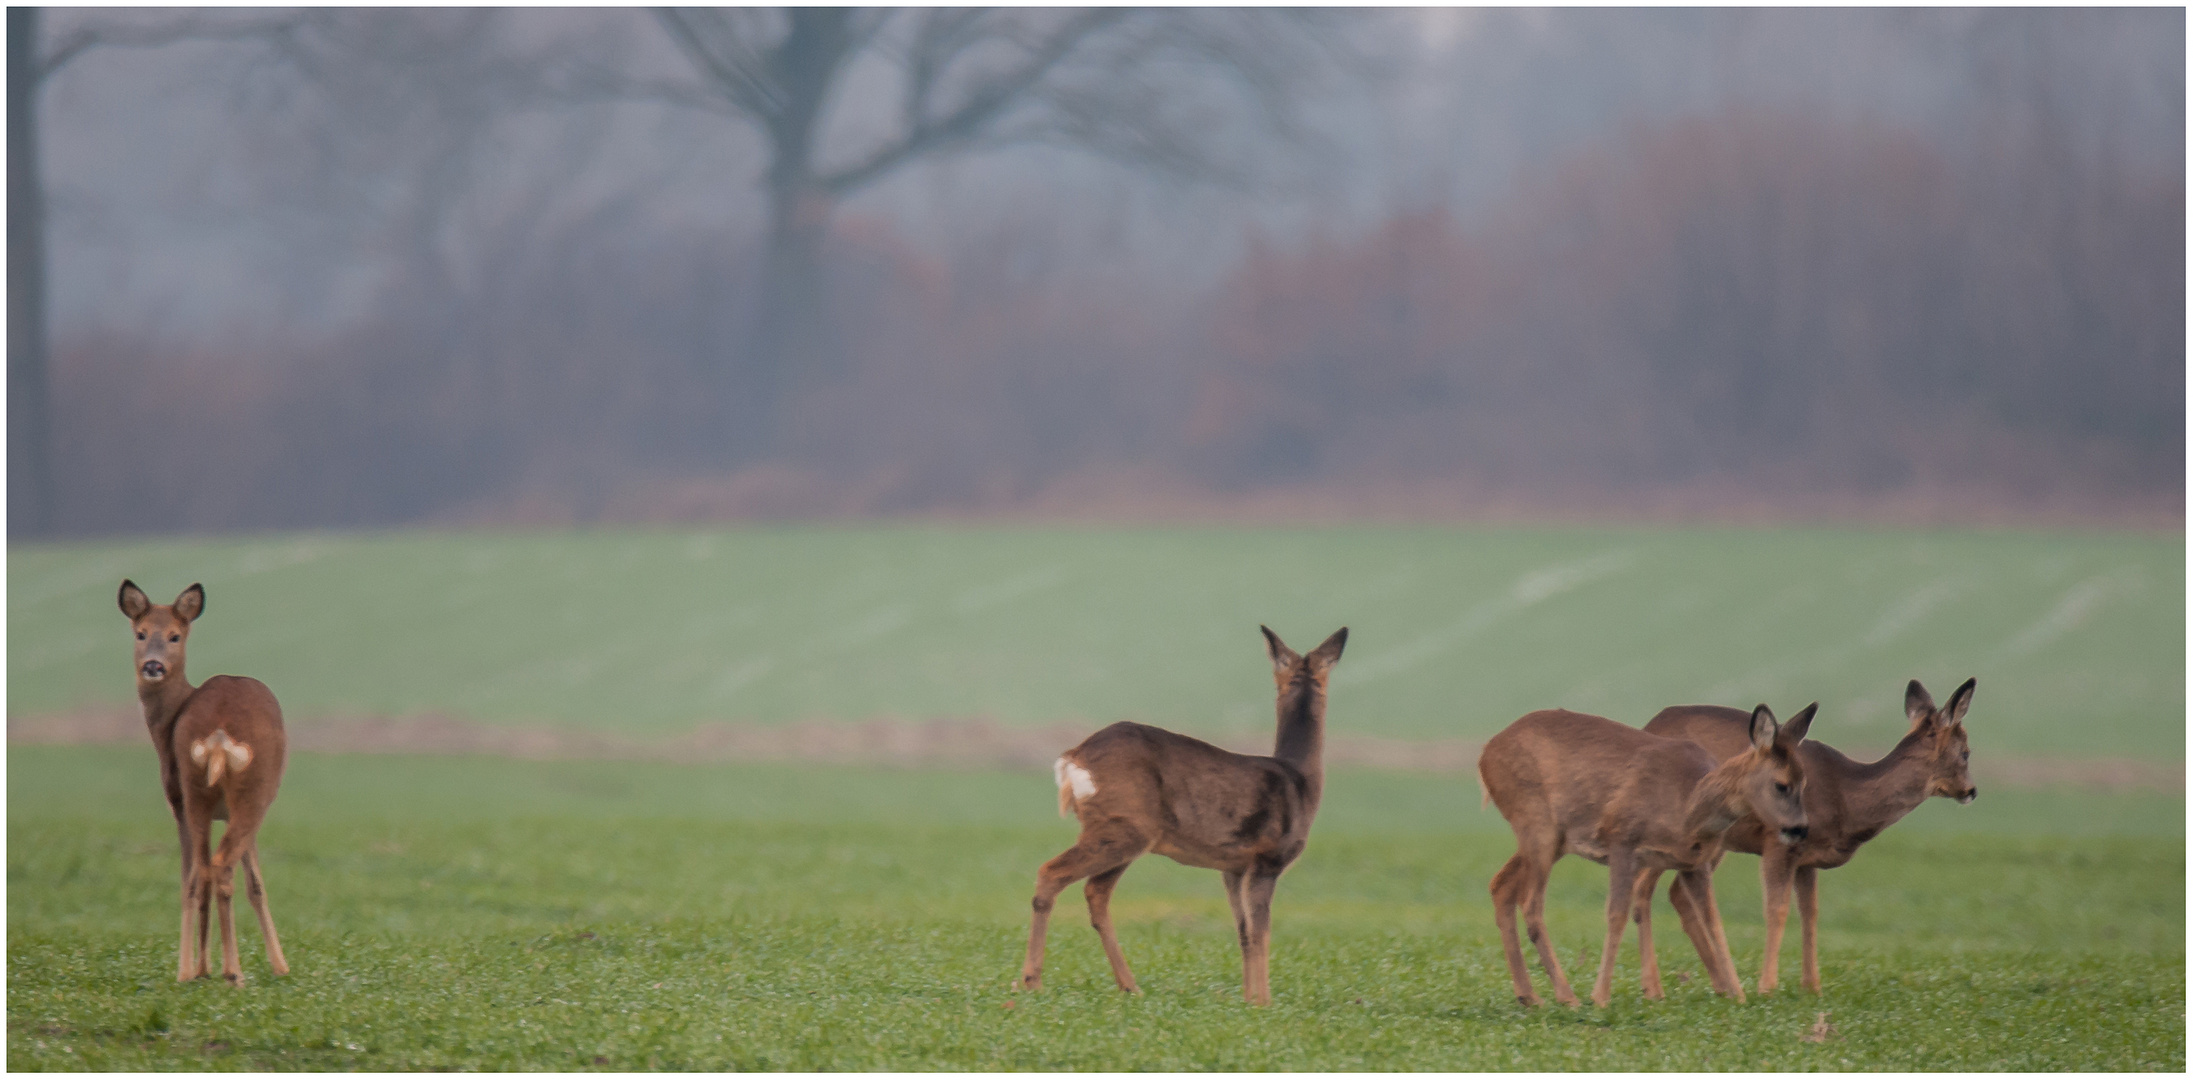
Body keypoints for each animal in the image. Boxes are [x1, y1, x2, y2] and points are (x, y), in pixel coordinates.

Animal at [117, 583, 289, 987]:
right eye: (140, 633)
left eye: (174, 635)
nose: (153, 665)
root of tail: (220, 734)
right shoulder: (195, 805)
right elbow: (250, 882)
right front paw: (279, 965)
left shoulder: (183, 801)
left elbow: (239, 882)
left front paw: (201, 968)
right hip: (249, 792)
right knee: (217, 869)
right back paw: (230, 971)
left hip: (198, 793)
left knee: (202, 874)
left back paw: (202, 971)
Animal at [1013, 623, 1350, 1005]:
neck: (1299, 778)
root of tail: (1074, 756)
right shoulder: (1268, 859)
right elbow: (1261, 931)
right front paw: (1263, 1002)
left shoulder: (1232, 868)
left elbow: (1243, 932)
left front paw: (1248, 999)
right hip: (1124, 828)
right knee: (1052, 872)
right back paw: (1032, 981)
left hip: (1119, 833)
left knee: (1095, 892)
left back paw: (1130, 986)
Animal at [1473, 702, 1815, 1009]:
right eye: (1781, 785)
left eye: (1805, 782)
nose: (1800, 829)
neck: (1688, 806)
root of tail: (1485, 754)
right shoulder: (1622, 840)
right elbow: (1616, 914)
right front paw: (1600, 997)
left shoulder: (1694, 863)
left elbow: (1714, 920)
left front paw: (1738, 995)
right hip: (1537, 824)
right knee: (1531, 904)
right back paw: (1567, 997)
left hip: (1552, 840)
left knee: (1501, 885)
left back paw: (1530, 996)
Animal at [1640, 676, 1982, 996]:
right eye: (1966, 752)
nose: (1971, 791)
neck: (1846, 796)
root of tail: (1648, 724)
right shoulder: (1778, 841)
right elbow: (1776, 910)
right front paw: (1767, 987)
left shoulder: (1807, 859)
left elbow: (1810, 913)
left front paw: (1811, 987)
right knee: (1646, 889)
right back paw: (1656, 990)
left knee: (1677, 893)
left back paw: (1720, 986)